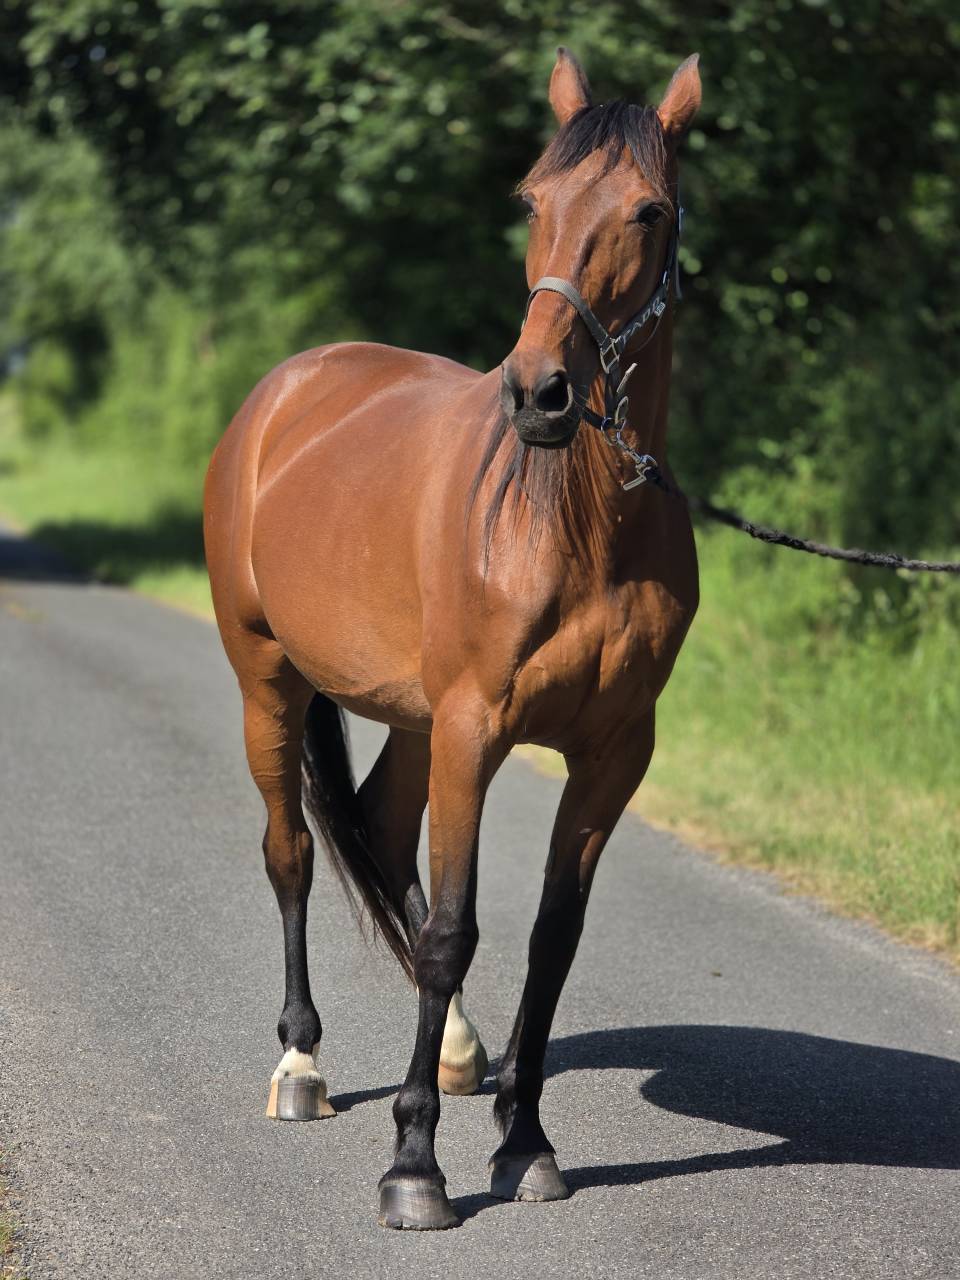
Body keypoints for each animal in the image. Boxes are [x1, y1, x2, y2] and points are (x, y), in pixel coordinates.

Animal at [203, 47, 702, 1230]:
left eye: (650, 210)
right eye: (532, 199)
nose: (541, 393)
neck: (578, 526)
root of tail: (285, 389)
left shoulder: (612, 755)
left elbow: (552, 938)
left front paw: (524, 1140)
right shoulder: (477, 732)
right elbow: (452, 931)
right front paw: (416, 1165)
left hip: (417, 719)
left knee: (382, 834)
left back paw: (464, 1051)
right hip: (270, 683)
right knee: (292, 852)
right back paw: (302, 1066)